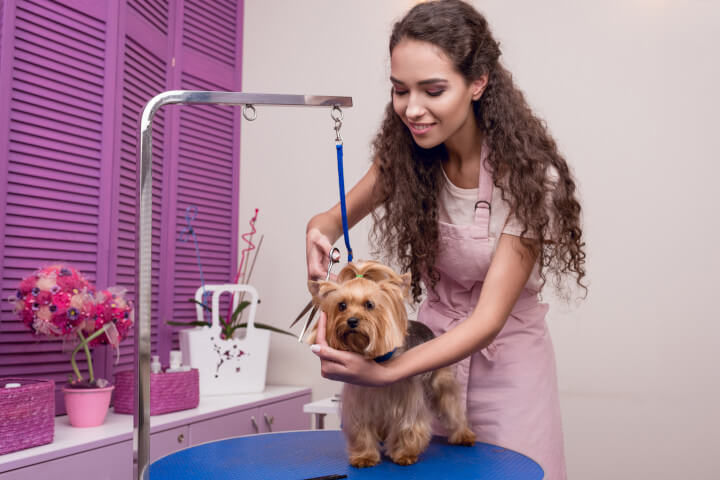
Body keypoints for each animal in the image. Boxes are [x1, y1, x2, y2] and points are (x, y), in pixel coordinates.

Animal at [306, 260, 476, 466]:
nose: (352, 321)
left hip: (441, 382)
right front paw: (364, 456)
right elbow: (361, 428)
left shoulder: (407, 398)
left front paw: (404, 454)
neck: (376, 358)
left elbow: (408, 425)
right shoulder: (359, 401)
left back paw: (463, 435)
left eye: (369, 305)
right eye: (342, 305)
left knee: (452, 408)